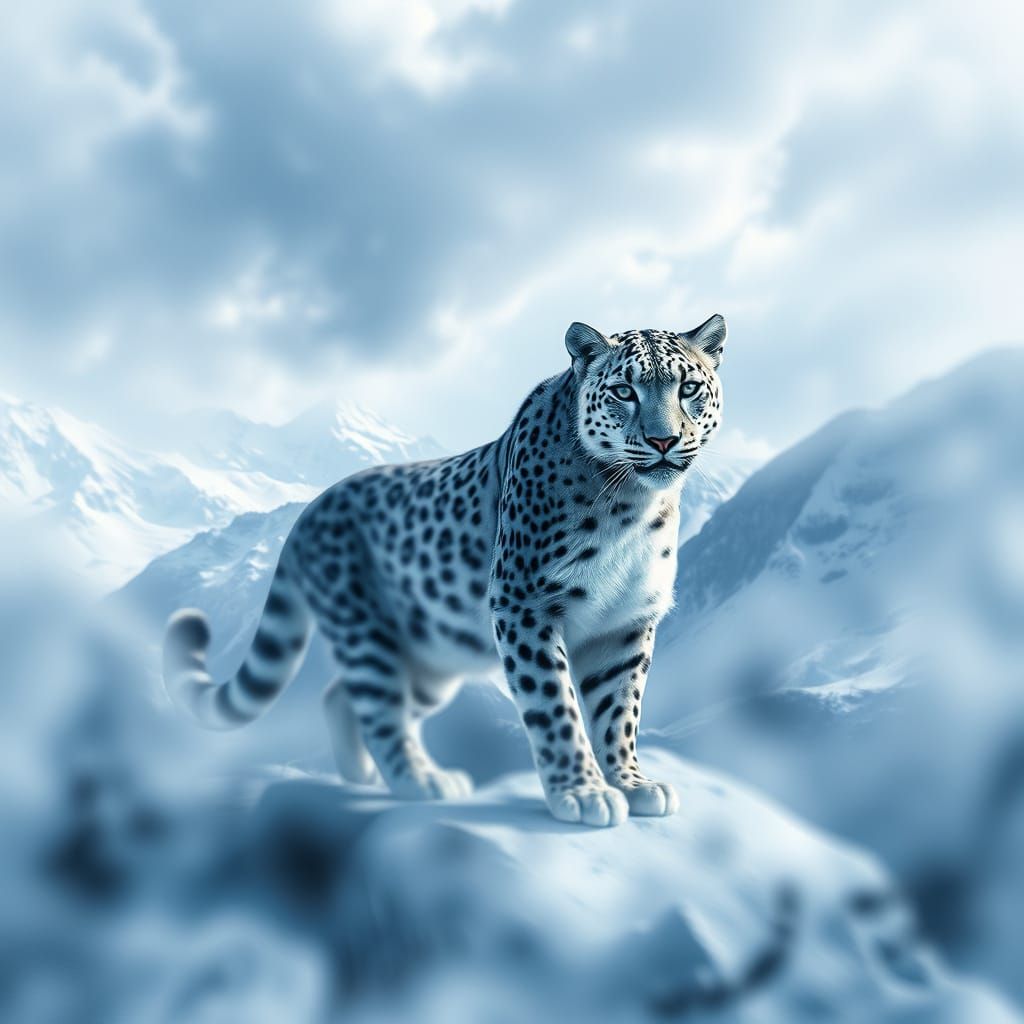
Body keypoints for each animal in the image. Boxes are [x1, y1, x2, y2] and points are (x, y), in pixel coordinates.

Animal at [163, 314, 726, 827]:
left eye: (689, 388)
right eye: (623, 391)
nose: (662, 441)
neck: (633, 504)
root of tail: (313, 506)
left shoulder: (627, 621)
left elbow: (619, 711)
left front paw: (630, 782)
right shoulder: (526, 605)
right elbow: (554, 703)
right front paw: (583, 792)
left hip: (430, 660)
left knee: (340, 696)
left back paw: (360, 774)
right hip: (366, 631)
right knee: (379, 707)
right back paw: (420, 780)